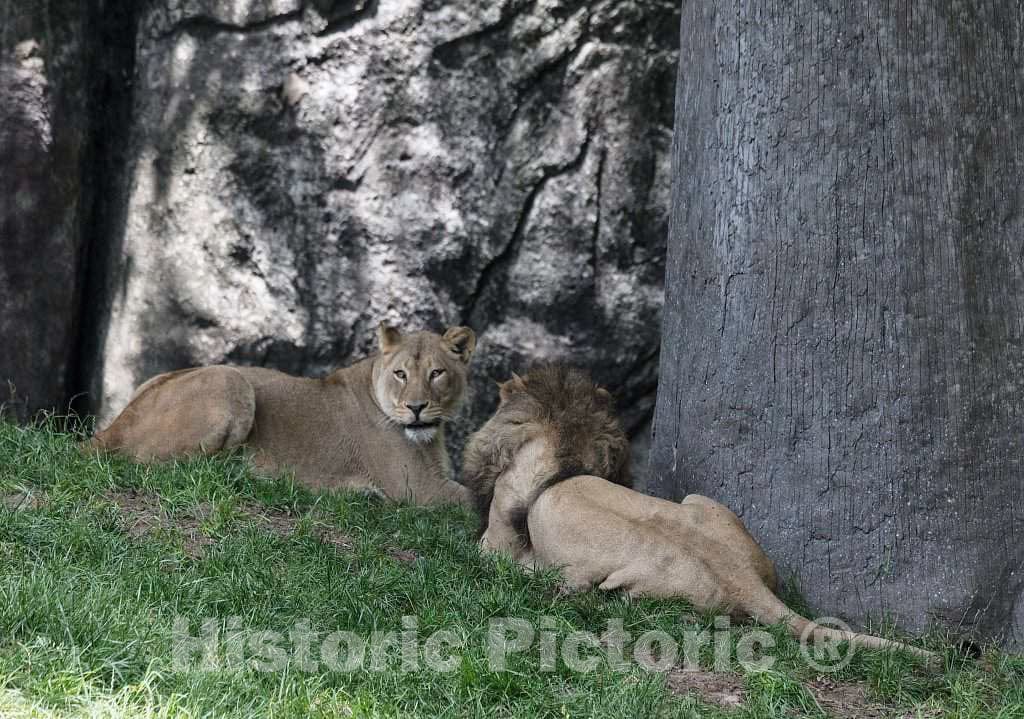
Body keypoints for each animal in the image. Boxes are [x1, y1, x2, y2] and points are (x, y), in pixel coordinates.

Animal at [89, 324, 476, 506]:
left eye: (436, 373)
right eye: (401, 374)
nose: (416, 407)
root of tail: (113, 426)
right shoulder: (419, 490)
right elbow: (474, 500)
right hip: (231, 380)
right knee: (166, 466)